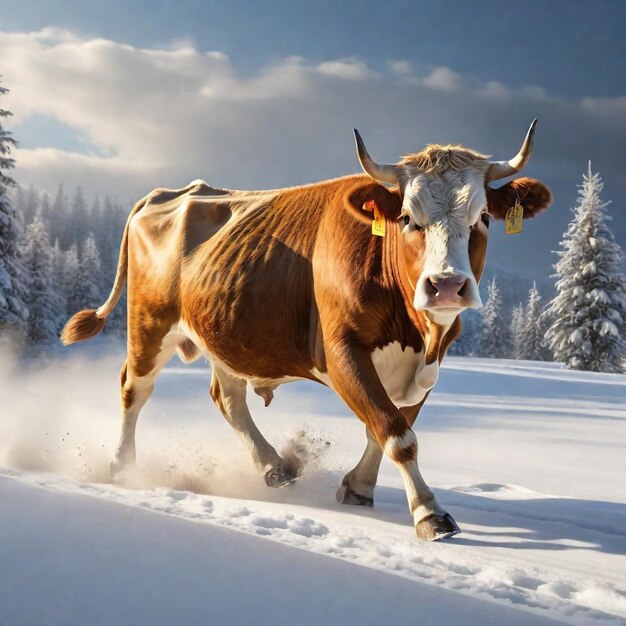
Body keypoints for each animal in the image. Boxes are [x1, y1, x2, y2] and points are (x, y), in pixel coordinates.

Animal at [61, 120, 548, 536]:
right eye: (409, 218)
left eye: (482, 217)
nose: (446, 285)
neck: (417, 333)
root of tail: (169, 192)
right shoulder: (341, 351)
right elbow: (396, 431)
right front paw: (429, 512)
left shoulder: (430, 364)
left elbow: (387, 423)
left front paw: (358, 488)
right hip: (150, 323)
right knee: (134, 388)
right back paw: (123, 466)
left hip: (222, 333)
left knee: (228, 399)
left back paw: (273, 467)